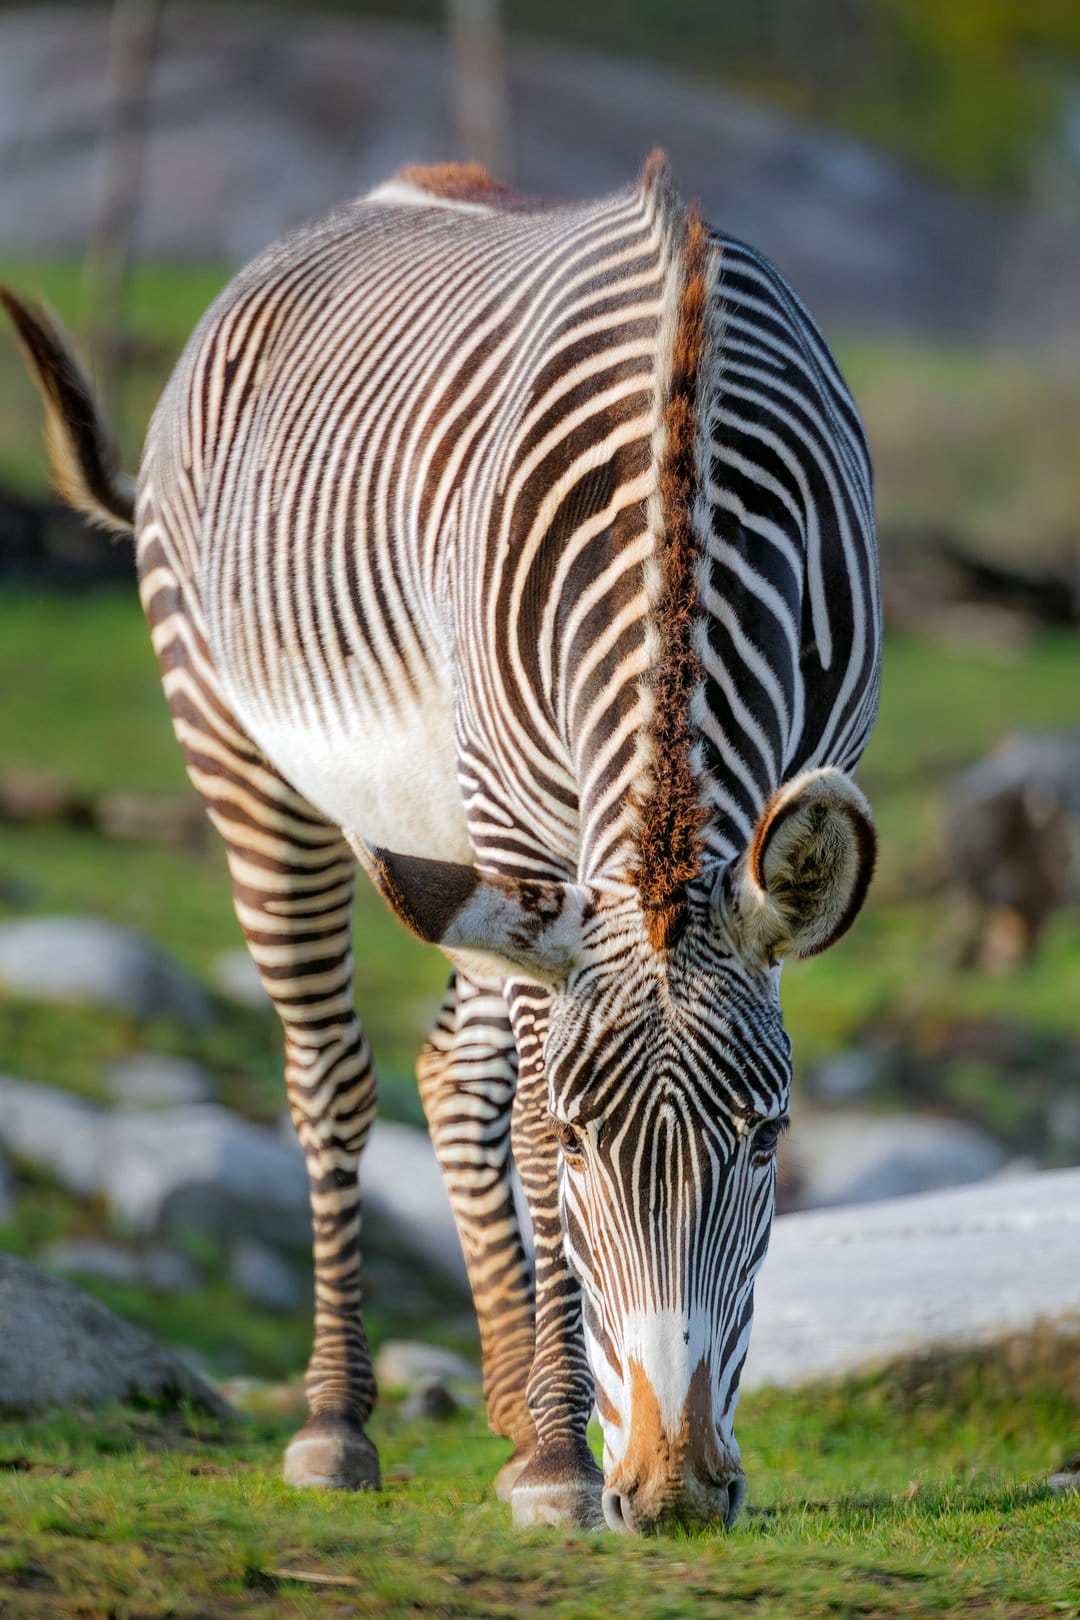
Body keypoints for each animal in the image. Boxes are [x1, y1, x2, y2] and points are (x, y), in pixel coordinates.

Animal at [2, 150, 880, 1535]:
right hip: (253, 759)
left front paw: (551, 1442)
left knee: (448, 1074)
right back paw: (339, 1423)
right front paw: (566, 1460)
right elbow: (515, 1125)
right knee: (334, 1080)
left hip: (463, 859)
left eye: (770, 1138)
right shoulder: (523, 823)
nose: (674, 1494)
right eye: (579, 1142)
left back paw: (514, 1412)